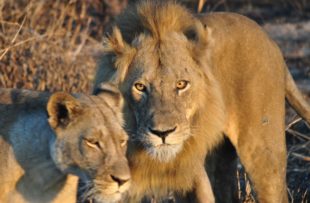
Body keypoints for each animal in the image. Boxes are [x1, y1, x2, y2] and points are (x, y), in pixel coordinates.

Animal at [94, 0, 310, 202]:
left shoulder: (193, 172)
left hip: (262, 151)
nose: (163, 133)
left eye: (181, 84)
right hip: (220, 158)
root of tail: (270, 40)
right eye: (140, 87)